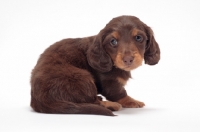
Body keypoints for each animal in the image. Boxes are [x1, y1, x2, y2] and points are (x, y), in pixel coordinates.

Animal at [30, 15, 160, 115]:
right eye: (113, 41)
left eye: (138, 38)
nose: (128, 59)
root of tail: (38, 100)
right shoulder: (109, 81)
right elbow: (118, 92)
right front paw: (132, 101)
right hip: (81, 76)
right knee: (91, 101)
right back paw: (110, 105)